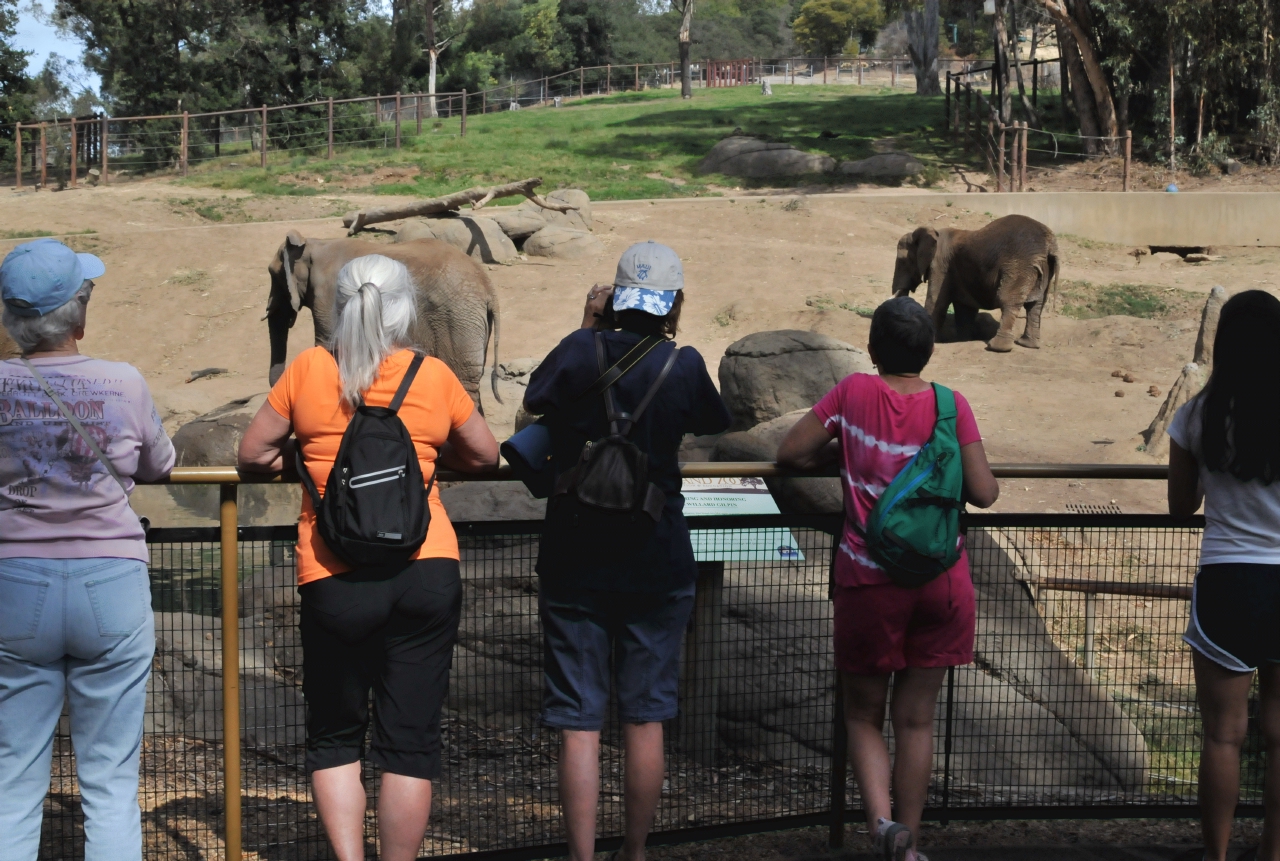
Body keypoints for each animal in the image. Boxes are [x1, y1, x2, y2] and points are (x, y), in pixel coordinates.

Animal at [264, 230, 499, 406]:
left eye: (273, 274)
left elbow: (329, 346)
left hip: (458, 322)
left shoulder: (326, 295)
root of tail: (488, 288)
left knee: (463, 380)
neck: (315, 243)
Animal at [890, 214, 1059, 353]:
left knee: (1008, 300)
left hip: (1019, 265)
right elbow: (965, 309)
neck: (932, 232)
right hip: (1043, 269)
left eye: (902, 261)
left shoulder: (940, 265)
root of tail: (1050, 246)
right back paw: (1028, 344)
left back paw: (997, 347)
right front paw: (964, 339)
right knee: (1036, 305)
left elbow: (936, 302)